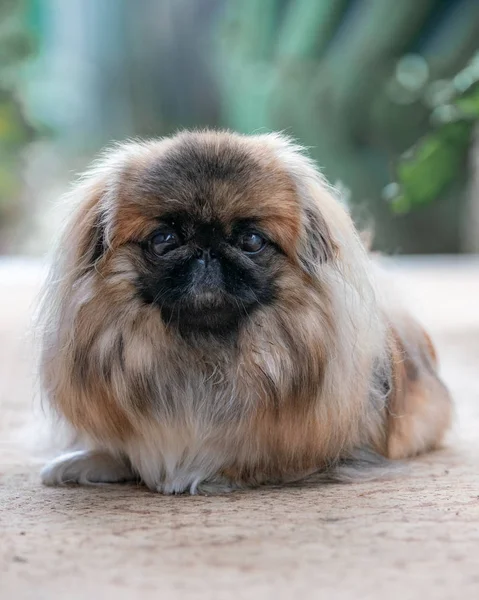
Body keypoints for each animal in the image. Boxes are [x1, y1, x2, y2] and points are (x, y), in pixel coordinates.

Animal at [38, 129, 454, 494]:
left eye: (251, 240)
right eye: (164, 239)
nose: (207, 250)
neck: (204, 355)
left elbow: (257, 459)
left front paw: (199, 472)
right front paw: (84, 461)